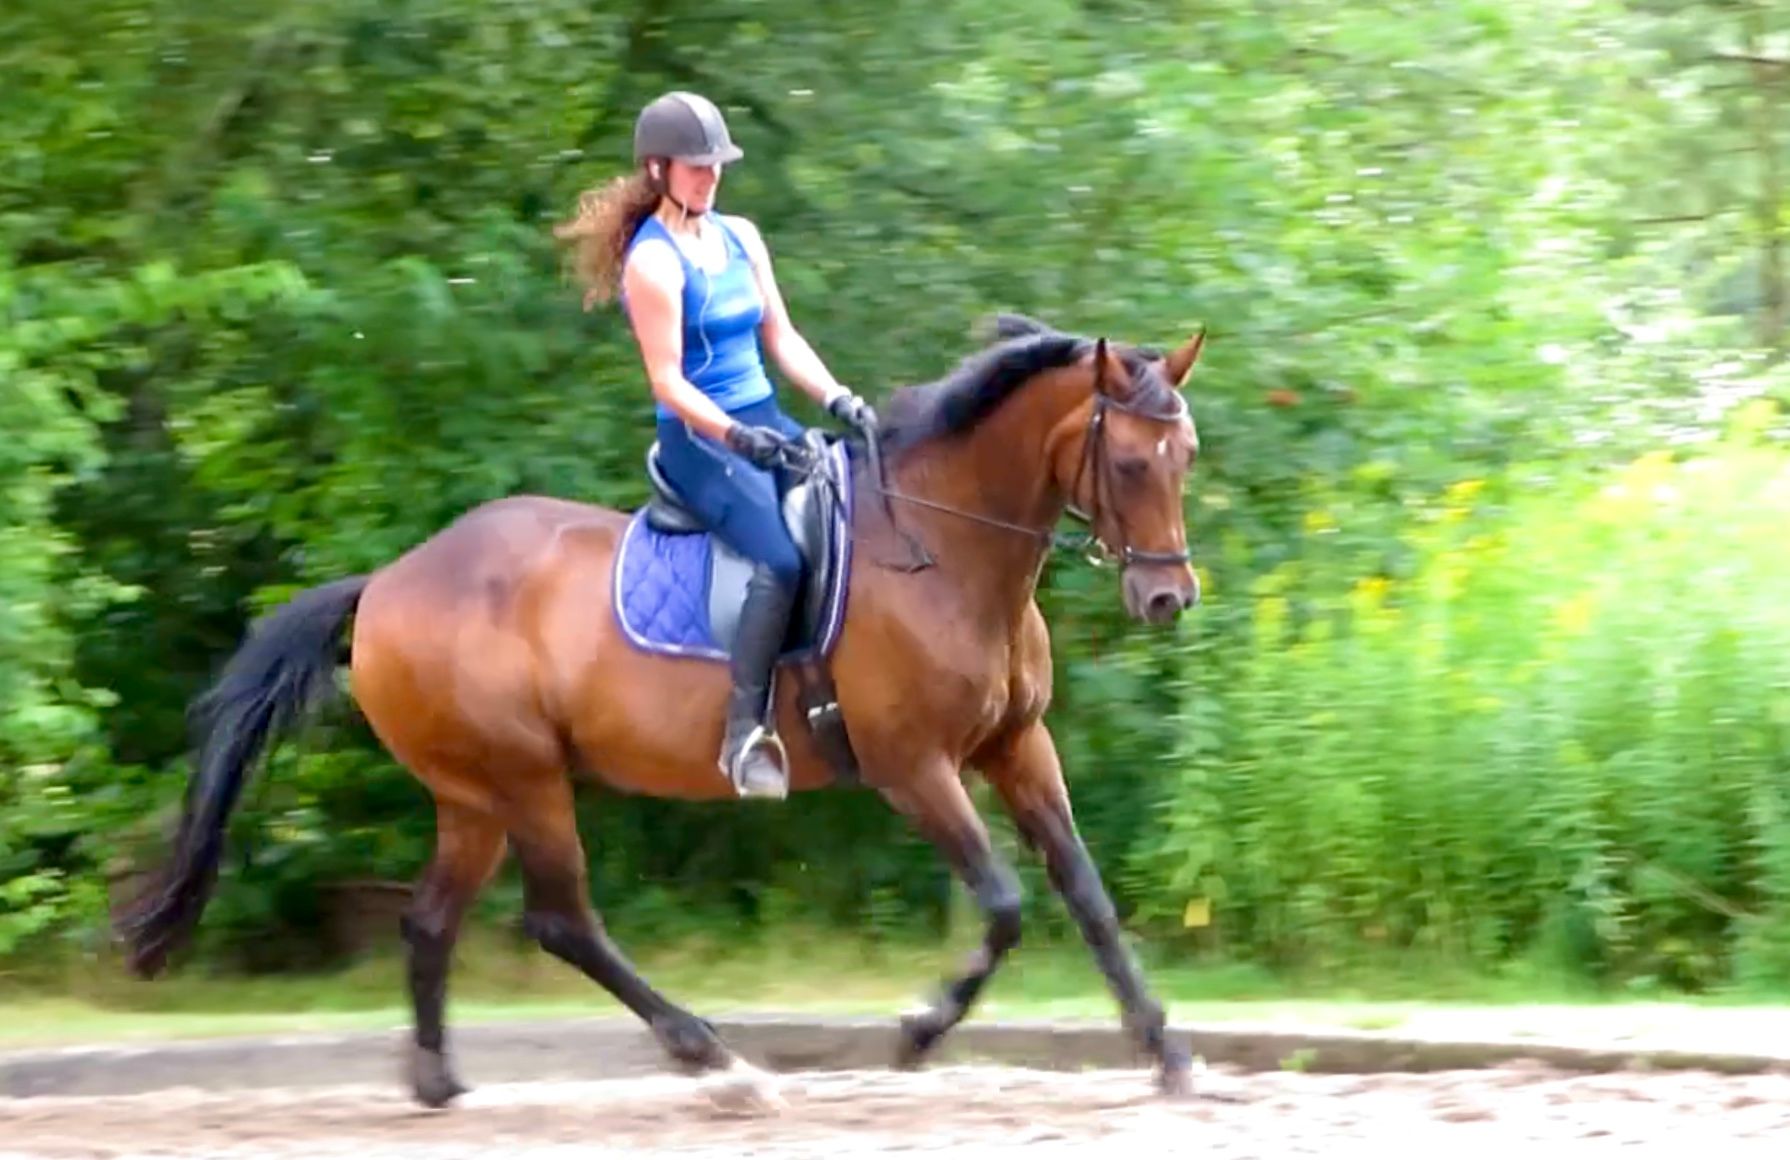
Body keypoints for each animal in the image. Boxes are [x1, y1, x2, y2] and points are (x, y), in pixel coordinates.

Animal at [113, 310, 1209, 1111]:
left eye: (1185, 453)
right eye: (1127, 463)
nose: (1167, 598)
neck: (943, 548)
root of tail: (385, 582)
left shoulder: (1016, 745)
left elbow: (1085, 892)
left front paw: (1165, 1048)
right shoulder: (913, 766)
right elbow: (1006, 903)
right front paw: (914, 1030)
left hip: (472, 794)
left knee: (429, 921)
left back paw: (438, 1081)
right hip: (525, 777)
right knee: (562, 919)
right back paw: (710, 1055)